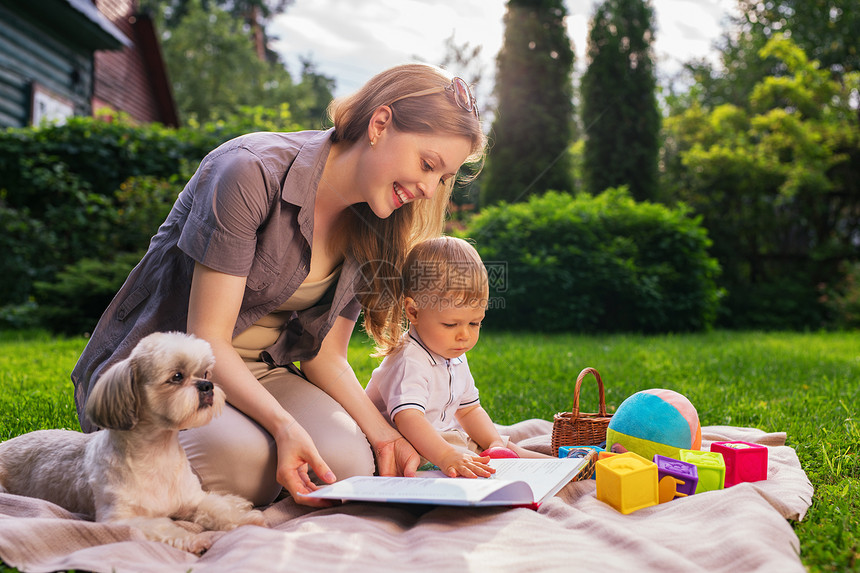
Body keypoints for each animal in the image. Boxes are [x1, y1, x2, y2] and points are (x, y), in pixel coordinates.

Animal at [0, 330, 266, 556]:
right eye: (177, 376)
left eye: (205, 373)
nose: (207, 386)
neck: (158, 452)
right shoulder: (123, 518)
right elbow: (163, 525)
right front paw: (195, 540)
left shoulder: (193, 500)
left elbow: (219, 507)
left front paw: (246, 519)